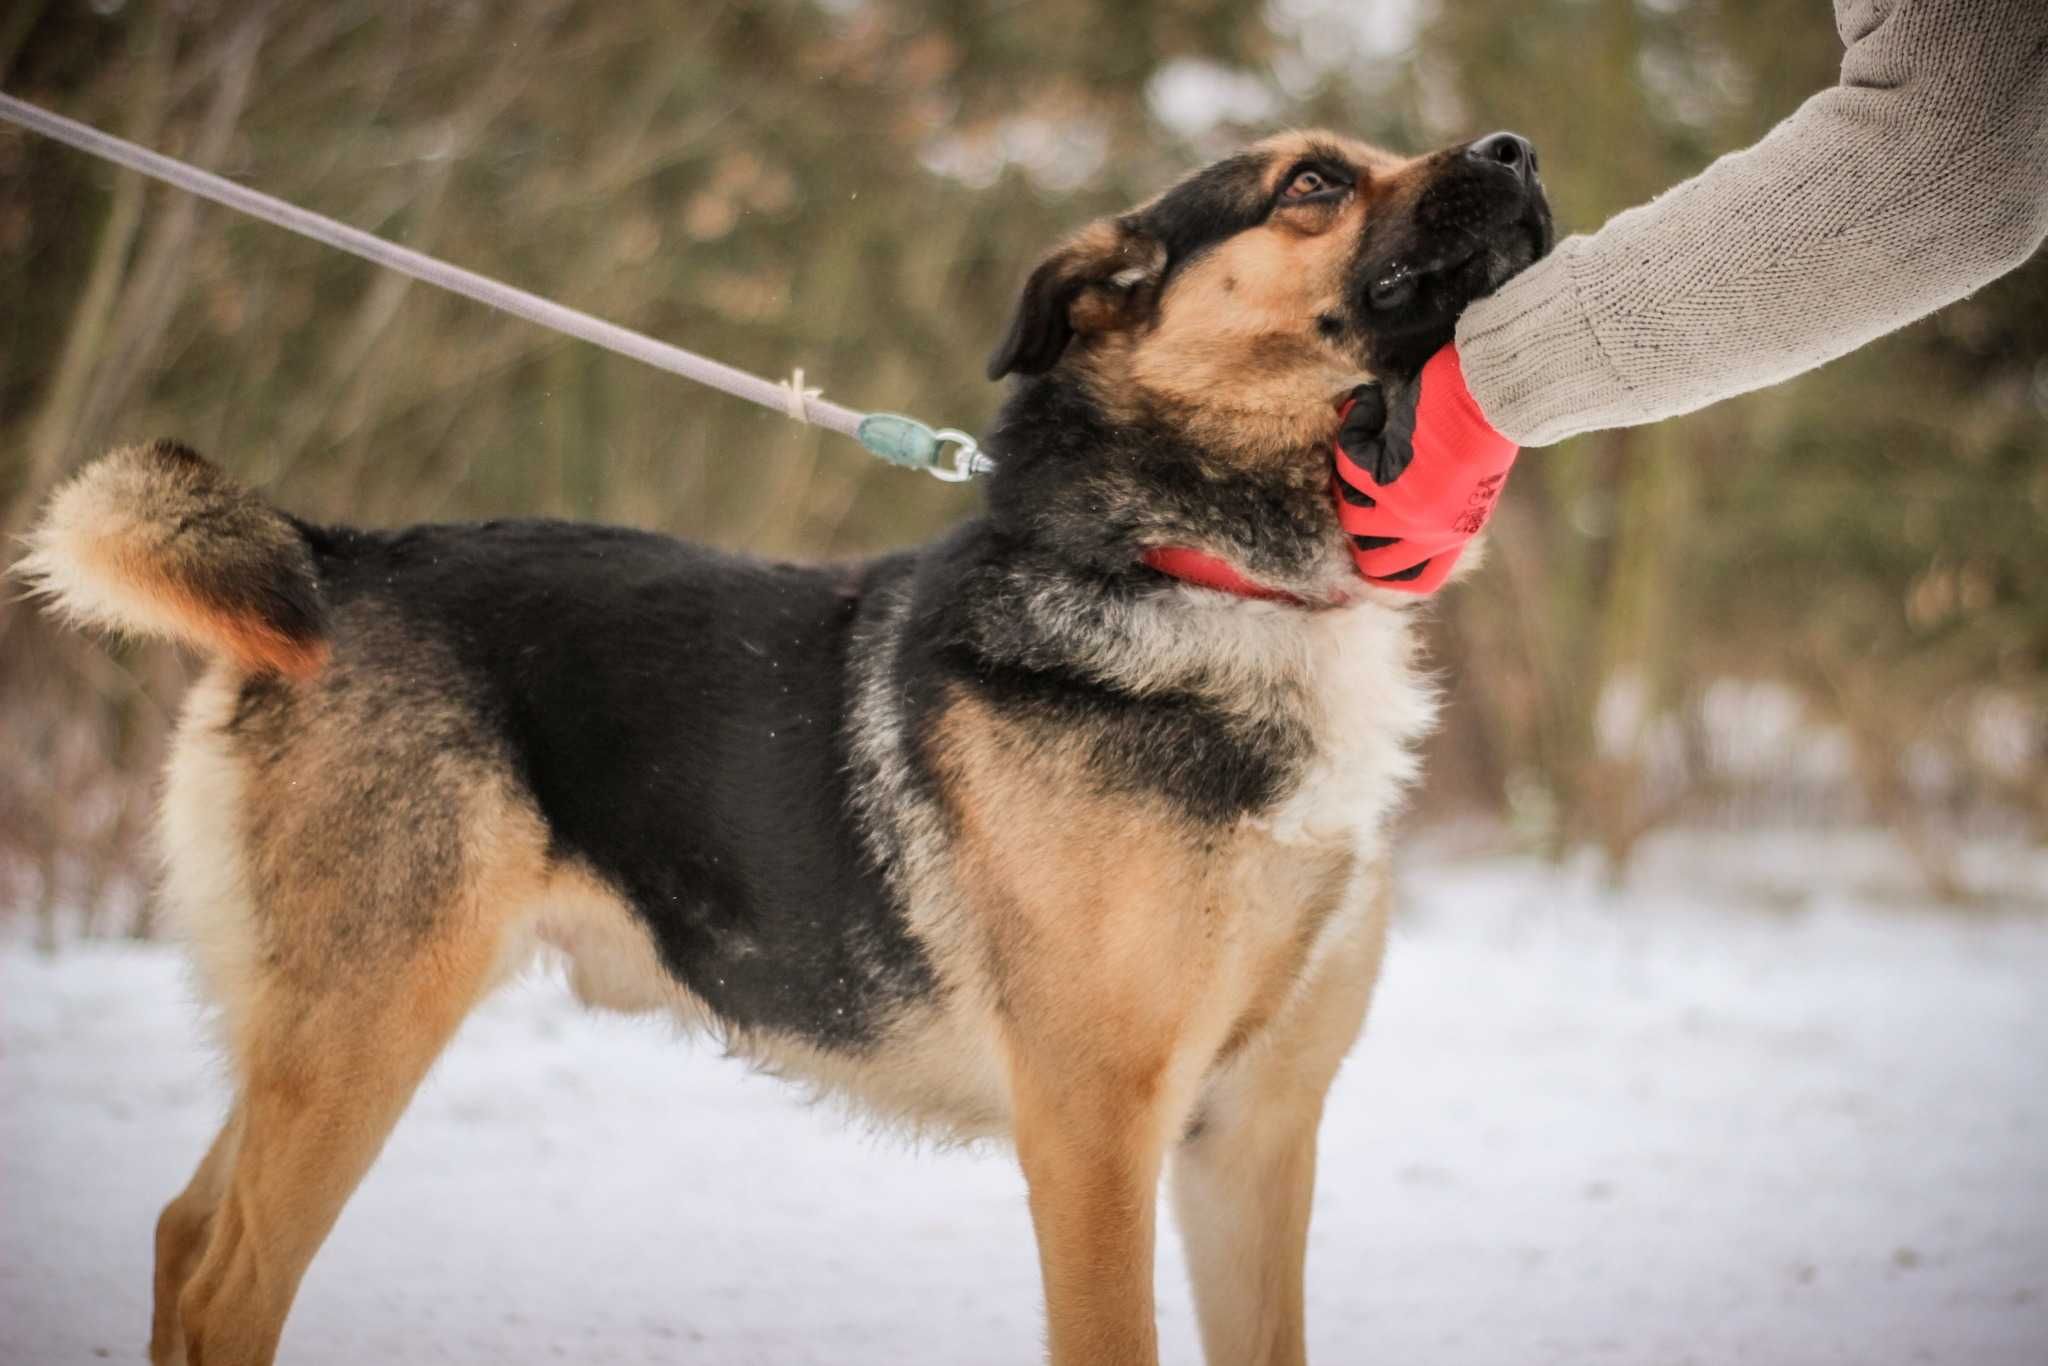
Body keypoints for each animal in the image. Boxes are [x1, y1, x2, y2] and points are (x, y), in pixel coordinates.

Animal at [19, 127, 1548, 1366]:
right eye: (1312, 184)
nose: (1518, 151)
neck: (1207, 577)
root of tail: (334, 556)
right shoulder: (1096, 1127)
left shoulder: (1253, 1134)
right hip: (363, 1025)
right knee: (225, 1283)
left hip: (315, 1027)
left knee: (178, 1232)